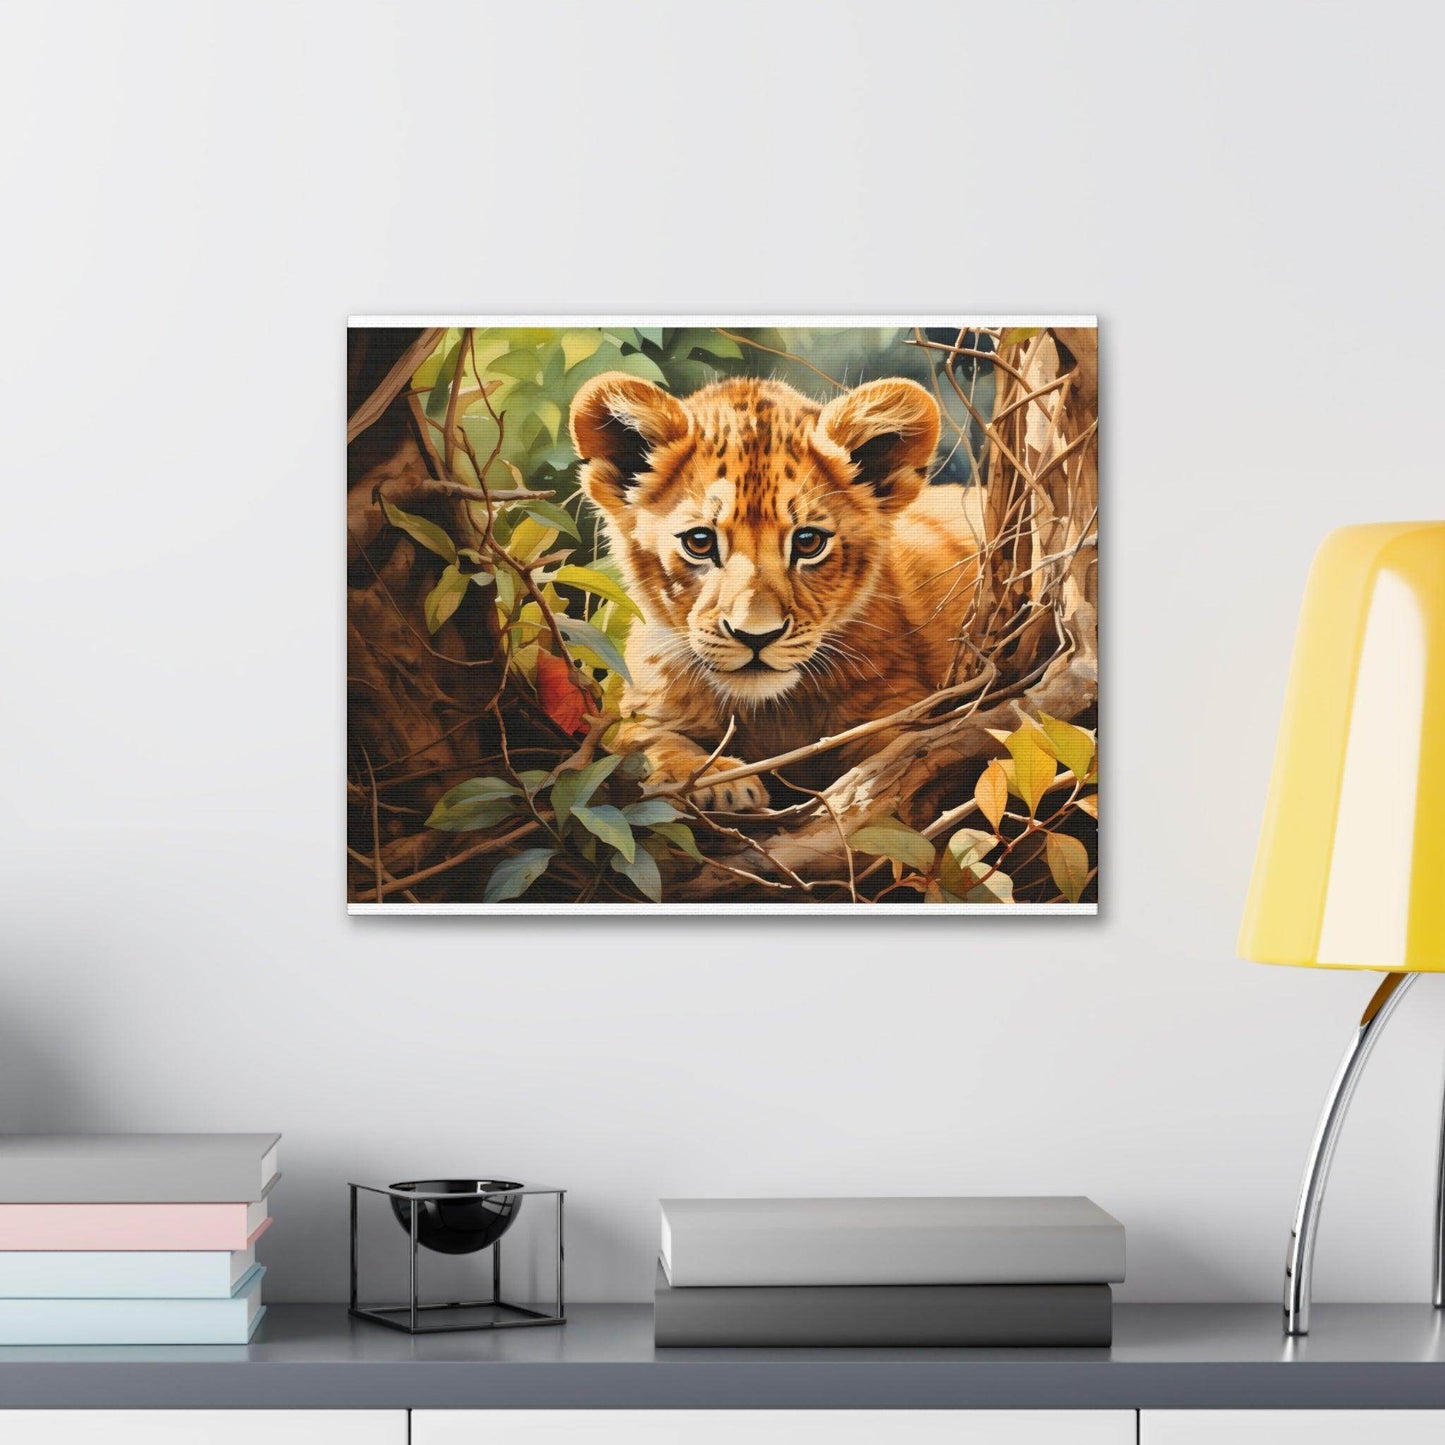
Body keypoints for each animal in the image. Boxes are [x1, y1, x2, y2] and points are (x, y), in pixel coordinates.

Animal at [569, 371, 986, 811]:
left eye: (808, 542)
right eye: (699, 541)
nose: (756, 636)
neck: (771, 713)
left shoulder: (901, 704)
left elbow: (903, 750)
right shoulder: (640, 710)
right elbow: (642, 741)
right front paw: (714, 780)